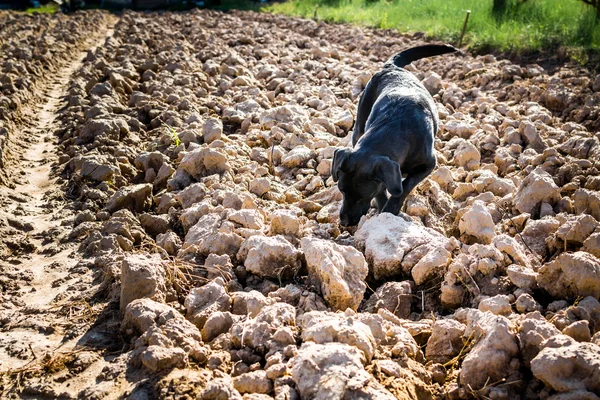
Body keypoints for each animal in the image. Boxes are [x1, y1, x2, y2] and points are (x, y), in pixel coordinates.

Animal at [332, 45, 454, 227]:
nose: (345, 223)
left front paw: (391, 208)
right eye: (342, 190)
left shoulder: (429, 164)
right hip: (359, 125)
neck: (394, 128)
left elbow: (406, 185)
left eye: (362, 196)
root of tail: (391, 67)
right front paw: (383, 208)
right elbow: (383, 188)